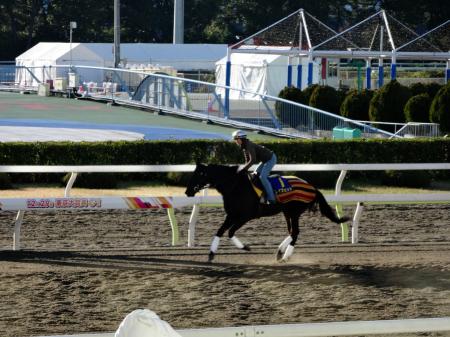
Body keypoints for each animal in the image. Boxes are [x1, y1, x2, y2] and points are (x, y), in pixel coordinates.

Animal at [185, 163, 350, 262]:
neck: (235, 186)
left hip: (294, 212)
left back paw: (285, 256)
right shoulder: (231, 214)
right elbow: (220, 231)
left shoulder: (245, 216)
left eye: (199, 174)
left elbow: (230, 232)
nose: (187, 191)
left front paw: (245, 247)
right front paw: (211, 254)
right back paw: (280, 252)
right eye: (193, 173)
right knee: (292, 232)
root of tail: (313, 187)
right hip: (287, 212)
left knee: (295, 232)